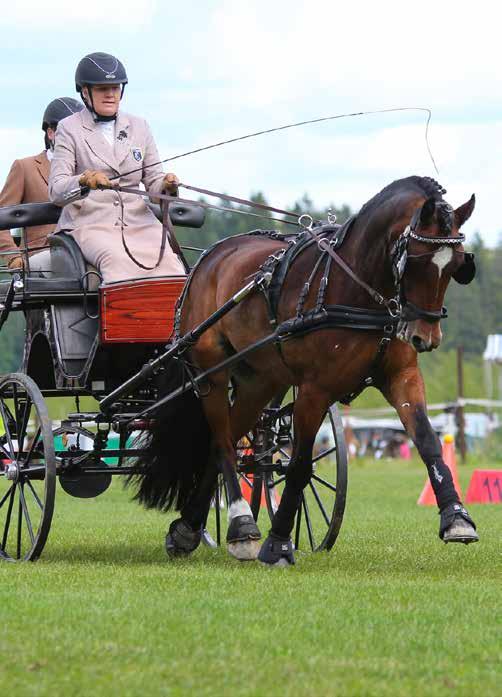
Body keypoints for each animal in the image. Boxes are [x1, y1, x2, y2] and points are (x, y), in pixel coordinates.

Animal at [132, 175, 478, 564]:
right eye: (416, 261)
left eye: (457, 265)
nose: (425, 337)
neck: (357, 288)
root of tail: (206, 262)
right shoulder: (315, 389)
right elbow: (299, 464)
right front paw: (278, 543)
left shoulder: (401, 376)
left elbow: (428, 441)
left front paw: (456, 517)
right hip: (212, 374)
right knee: (221, 444)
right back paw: (241, 524)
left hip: (258, 382)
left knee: (225, 442)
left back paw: (189, 528)